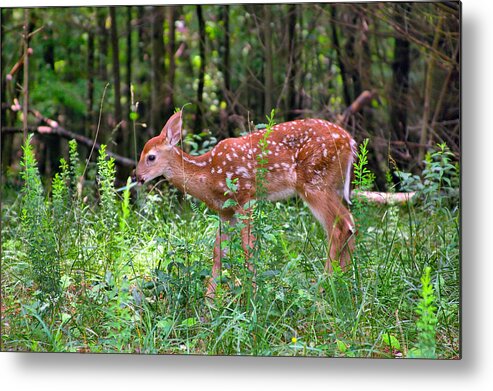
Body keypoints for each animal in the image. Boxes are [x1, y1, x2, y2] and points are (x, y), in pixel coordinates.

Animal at [136, 111, 356, 300]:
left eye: (151, 157)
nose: (137, 177)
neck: (208, 174)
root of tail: (350, 141)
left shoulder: (245, 196)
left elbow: (248, 247)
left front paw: (252, 295)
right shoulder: (225, 211)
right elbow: (219, 252)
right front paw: (209, 302)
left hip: (314, 181)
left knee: (338, 227)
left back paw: (324, 286)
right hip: (330, 186)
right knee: (350, 224)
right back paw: (345, 282)